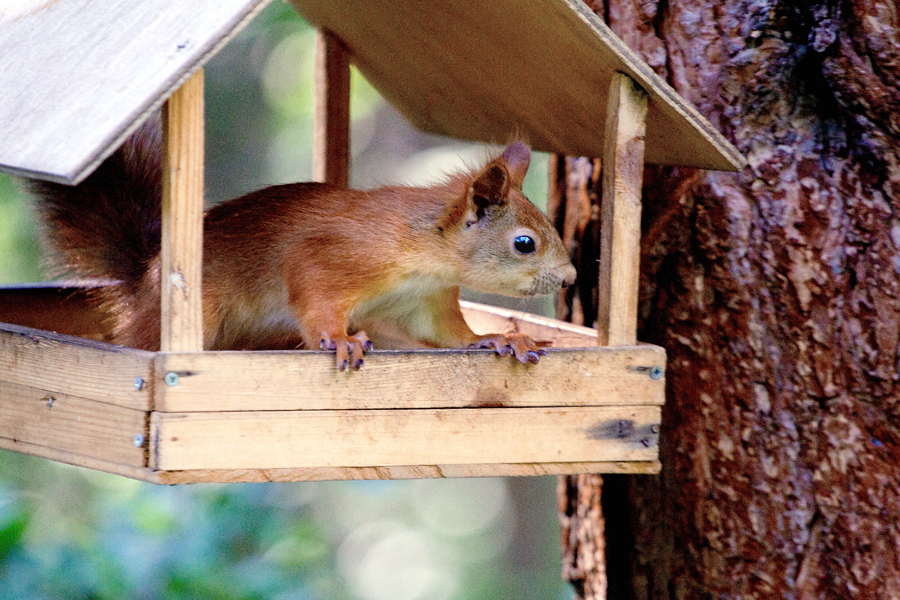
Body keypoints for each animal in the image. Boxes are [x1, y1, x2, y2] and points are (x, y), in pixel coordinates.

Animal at [31, 122, 576, 370]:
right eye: (524, 243)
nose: (570, 278)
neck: (425, 254)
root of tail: (146, 280)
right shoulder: (332, 258)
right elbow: (316, 302)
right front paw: (340, 339)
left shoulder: (425, 303)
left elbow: (449, 335)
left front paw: (499, 338)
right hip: (195, 310)